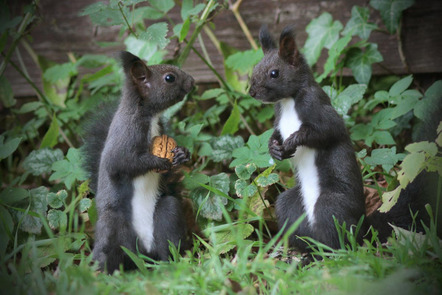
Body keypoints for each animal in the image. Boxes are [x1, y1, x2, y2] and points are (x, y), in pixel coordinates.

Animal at [81, 50, 195, 272]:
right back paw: (102, 271)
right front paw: (158, 162)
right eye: (169, 78)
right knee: (109, 249)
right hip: (113, 225)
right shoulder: (126, 135)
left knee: (168, 237)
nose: (192, 81)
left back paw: (172, 263)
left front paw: (182, 154)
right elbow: (122, 163)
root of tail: (145, 252)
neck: (149, 116)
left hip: (167, 214)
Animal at [249, 25, 422, 252]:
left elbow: (325, 131)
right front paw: (274, 149)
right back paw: (306, 251)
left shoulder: (320, 109)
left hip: (330, 206)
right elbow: (275, 134)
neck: (288, 102)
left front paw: (294, 140)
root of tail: (365, 228)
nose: (251, 92)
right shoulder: (279, 120)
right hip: (289, 206)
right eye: (255, 68)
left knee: (340, 241)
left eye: (274, 73)